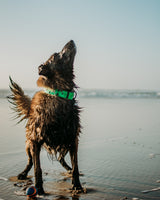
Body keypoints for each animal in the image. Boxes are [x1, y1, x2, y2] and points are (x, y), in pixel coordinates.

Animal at [7, 39, 82, 195]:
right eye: (56, 55)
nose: (71, 41)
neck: (59, 94)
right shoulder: (35, 140)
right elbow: (37, 168)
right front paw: (39, 188)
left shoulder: (73, 139)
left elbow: (76, 166)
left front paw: (77, 185)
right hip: (28, 144)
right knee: (30, 161)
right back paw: (23, 173)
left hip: (63, 142)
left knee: (61, 158)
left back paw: (68, 169)